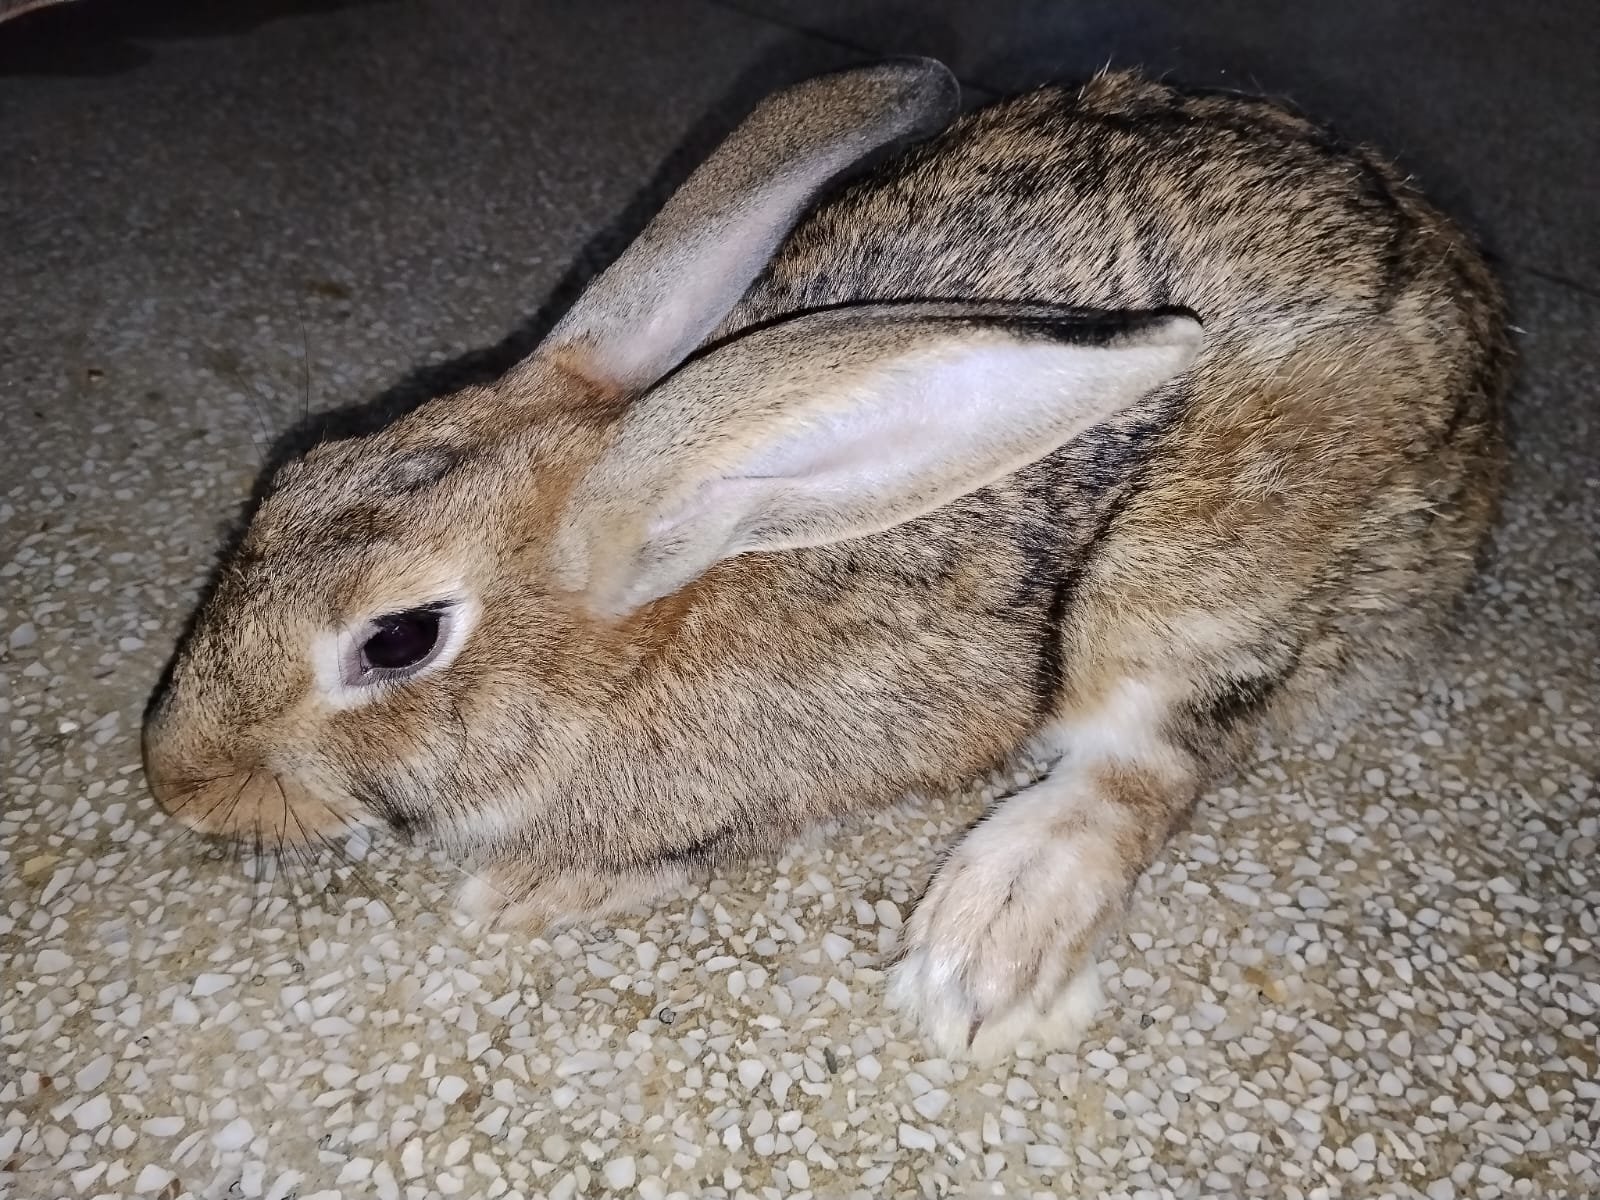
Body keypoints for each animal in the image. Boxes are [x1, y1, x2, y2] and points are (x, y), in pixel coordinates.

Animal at [142, 57, 1509, 1058]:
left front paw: (533, 888)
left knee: (1156, 761)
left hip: (1186, 594)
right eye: (298, 472)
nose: (178, 781)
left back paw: (988, 938)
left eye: (397, 640)